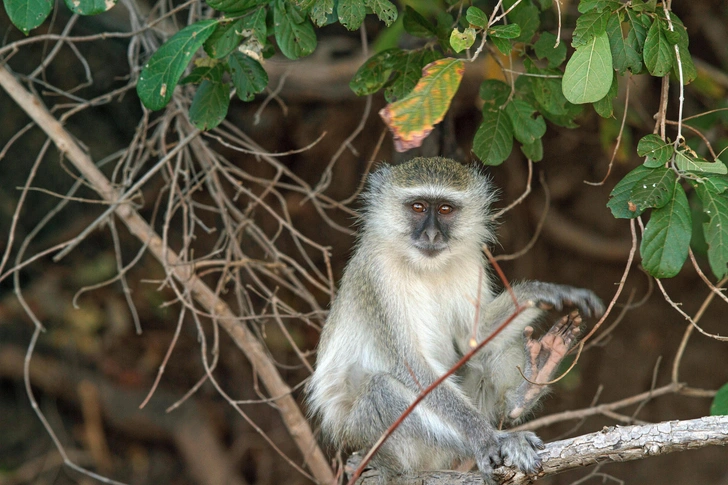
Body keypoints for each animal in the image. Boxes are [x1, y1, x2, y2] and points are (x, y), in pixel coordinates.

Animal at [308, 157, 604, 482]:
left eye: (446, 209)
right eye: (418, 207)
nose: (431, 235)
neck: (424, 266)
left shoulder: (471, 261)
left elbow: (475, 336)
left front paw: (542, 292)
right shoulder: (376, 275)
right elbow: (412, 367)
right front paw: (487, 438)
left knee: (487, 353)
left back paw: (528, 389)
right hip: (368, 435)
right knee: (382, 390)